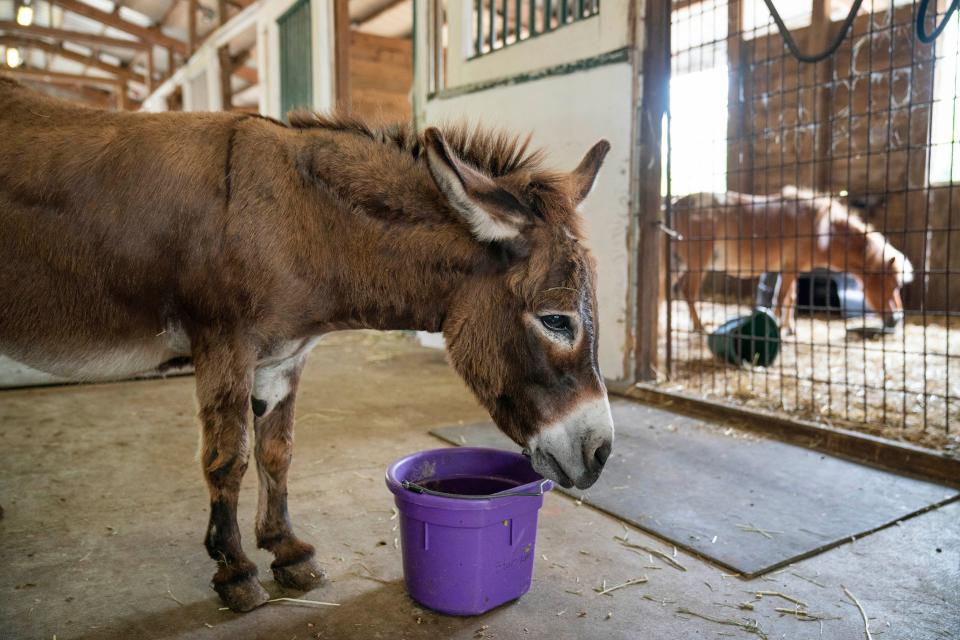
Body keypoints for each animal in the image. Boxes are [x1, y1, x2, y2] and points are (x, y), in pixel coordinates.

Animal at [0, 79, 616, 608]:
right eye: (556, 321)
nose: (601, 455)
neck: (298, 220)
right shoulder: (224, 343)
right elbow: (228, 458)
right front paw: (235, 571)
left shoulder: (284, 355)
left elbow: (278, 451)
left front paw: (287, 552)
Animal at [668, 185, 916, 332]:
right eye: (892, 284)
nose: (896, 319)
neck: (822, 227)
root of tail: (675, 205)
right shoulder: (789, 269)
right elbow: (780, 298)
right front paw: (775, 328)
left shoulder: (792, 269)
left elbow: (791, 298)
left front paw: (789, 328)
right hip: (696, 265)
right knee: (688, 292)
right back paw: (699, 326)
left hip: (678, 265)